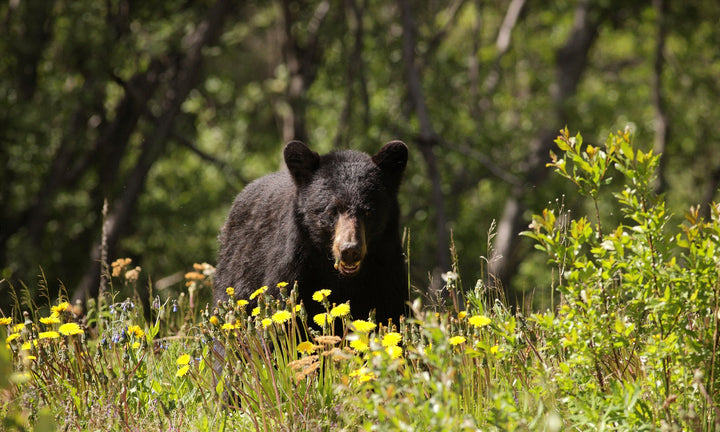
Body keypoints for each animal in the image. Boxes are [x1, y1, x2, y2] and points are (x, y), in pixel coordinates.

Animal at [211, 140, 408, 326]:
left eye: (368, 211)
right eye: (332, 210)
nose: (350, 250)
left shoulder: (386, 271)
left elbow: (390, 311)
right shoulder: (295, 267)